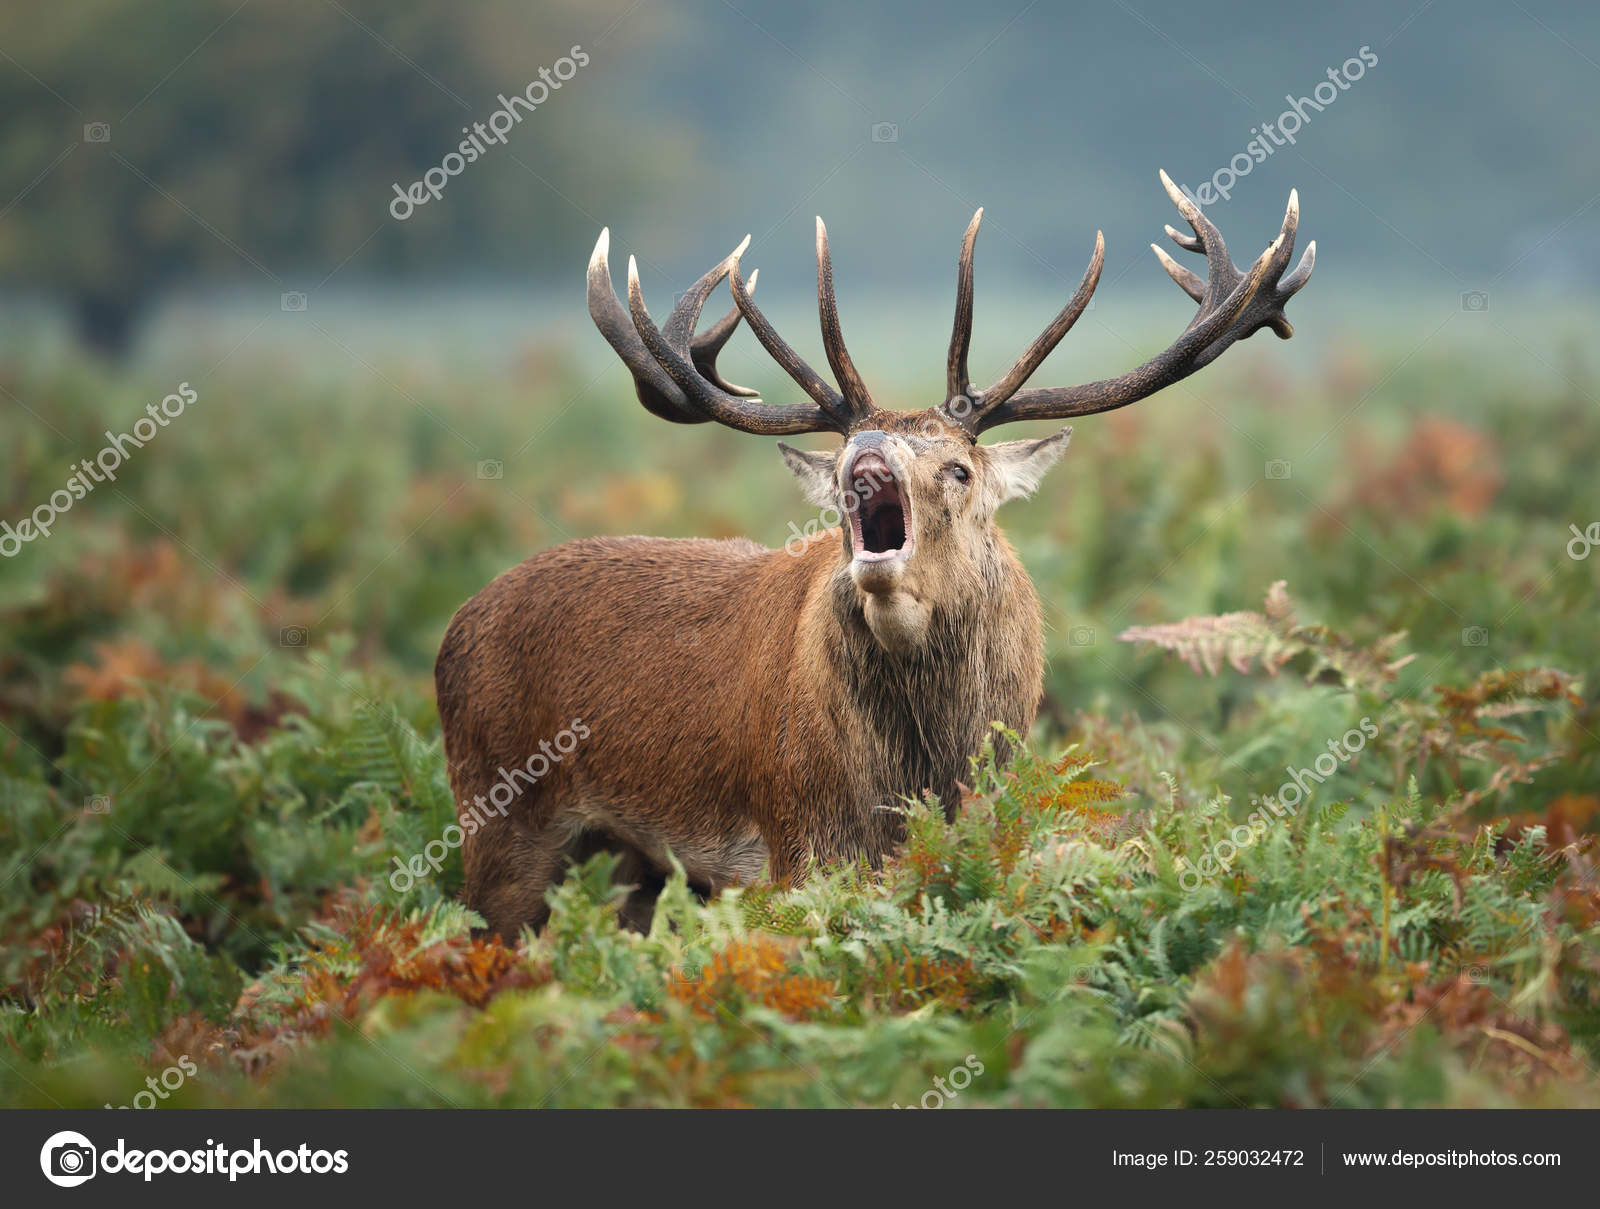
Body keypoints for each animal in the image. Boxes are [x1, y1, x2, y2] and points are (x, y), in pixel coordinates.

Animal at [435, 172, 1314, 938]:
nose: (865, 450)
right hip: (498, 809)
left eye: (958, 466)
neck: (920, 778)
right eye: (836, 476)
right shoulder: (796, 846)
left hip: (630, 859)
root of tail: (454, 628)